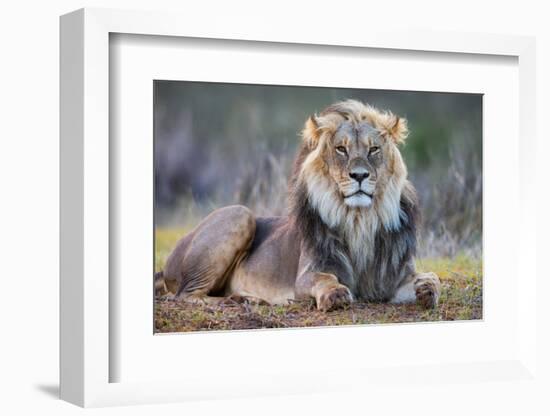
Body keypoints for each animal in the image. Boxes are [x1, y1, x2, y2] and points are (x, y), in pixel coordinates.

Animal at [157, 99, 442, 310]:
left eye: (373, 149)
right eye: (341, 149)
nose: (359, 175)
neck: (360, 219)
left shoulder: (394, 276)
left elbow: (431, 277)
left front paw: (427, 288)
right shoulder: (308, 273)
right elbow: (324, 278)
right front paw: (336, 294)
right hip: (240, 213)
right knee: (185, 295)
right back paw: (238, 300)